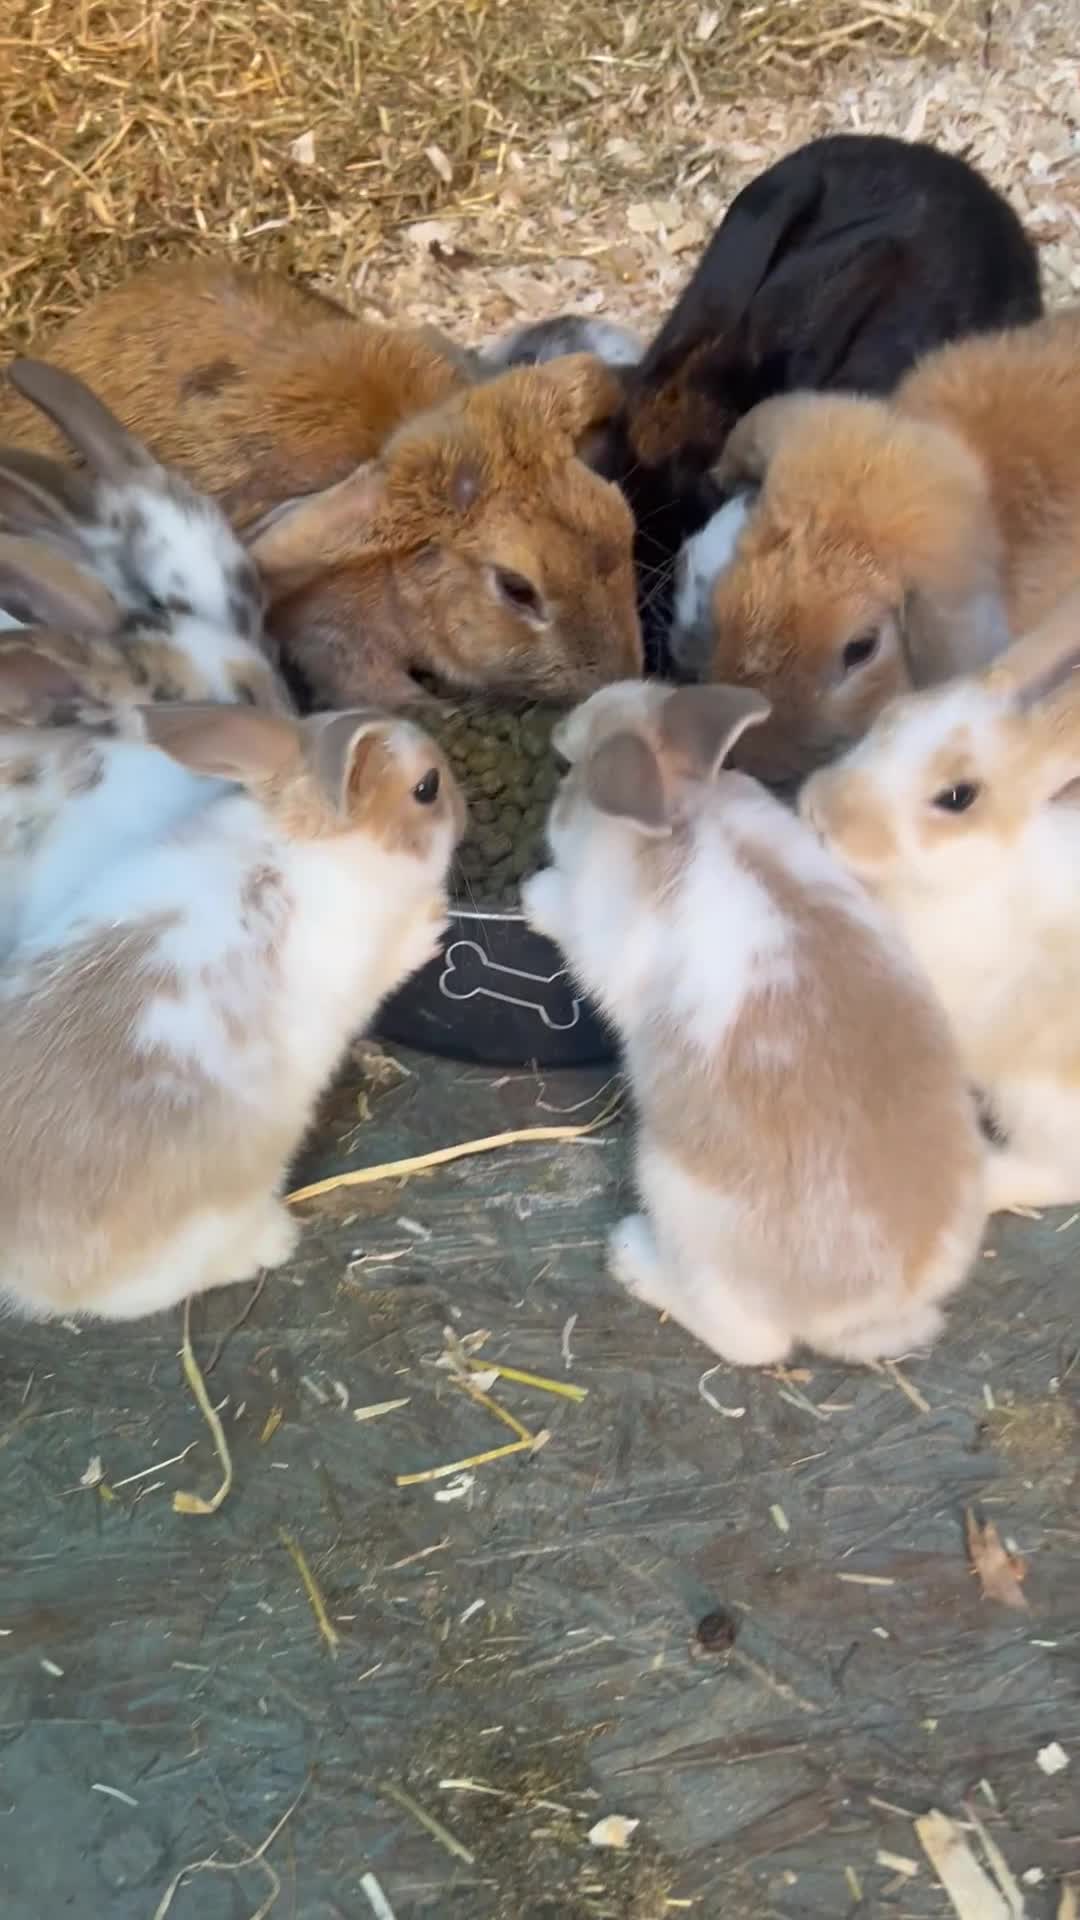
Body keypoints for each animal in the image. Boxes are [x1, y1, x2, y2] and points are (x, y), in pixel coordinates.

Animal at [520, 679, 987, 1366]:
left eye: (567, 769)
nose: (554, 737)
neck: (686, 807)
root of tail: (872, 1306)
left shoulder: (601, 939)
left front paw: (536, 895)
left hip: (674, 1194)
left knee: (751, 1343)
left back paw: (633, 1257)